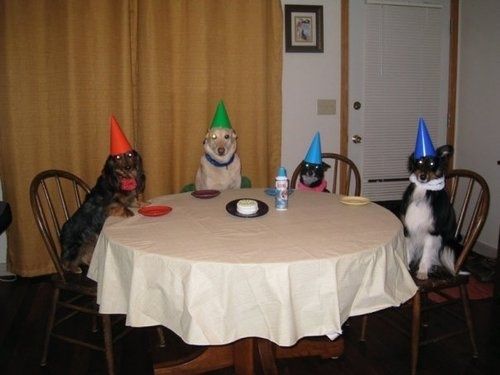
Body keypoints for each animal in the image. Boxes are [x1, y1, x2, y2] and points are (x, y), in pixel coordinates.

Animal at [60, 116, 146, 274]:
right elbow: (120, 205)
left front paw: (145, 204)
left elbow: (135, 201)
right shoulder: (107, 205)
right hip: (76, 246)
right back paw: (75, 269)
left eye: (130, 155)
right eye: (117, 157)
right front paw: (129, 213)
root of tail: (61, 233)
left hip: (90, 241)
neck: (122, 179)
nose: (128, 167)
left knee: (85, 257)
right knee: (65, 262)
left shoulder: (129, 198)